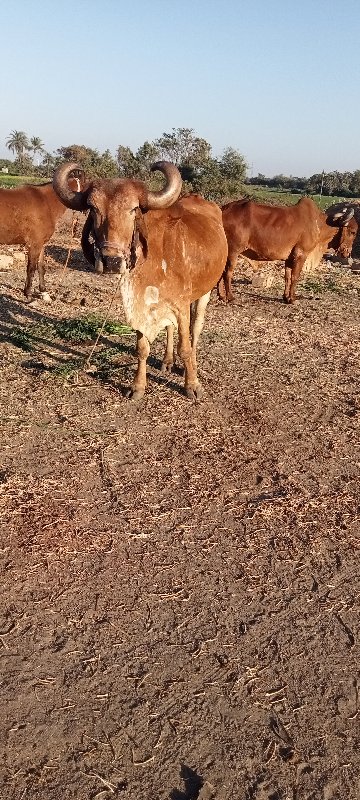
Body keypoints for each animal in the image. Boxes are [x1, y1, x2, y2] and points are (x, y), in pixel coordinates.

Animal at [52, 161, 228, 400]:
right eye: (94, 208)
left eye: (133, 209)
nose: (111, 261)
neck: (153, 254)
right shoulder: (141, 305)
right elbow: (142, 348)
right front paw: (138, 386)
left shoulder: (181, 305)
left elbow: (185, 347)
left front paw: (192, 385)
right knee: (169, 328)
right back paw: (167, 361)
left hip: (205, 293)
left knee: (196, 327)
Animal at [217, 197, 358, 304]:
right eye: (353, 232)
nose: (347, 252)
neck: (318, 224)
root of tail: (222, 209)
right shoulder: (301, 254)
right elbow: (295, 277)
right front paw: (292, 299)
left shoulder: (289, 258)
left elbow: (287, 277)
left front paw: (285, 297)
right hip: (233, 252)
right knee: (228, 273)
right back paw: (230, 297)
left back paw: (221, 296)